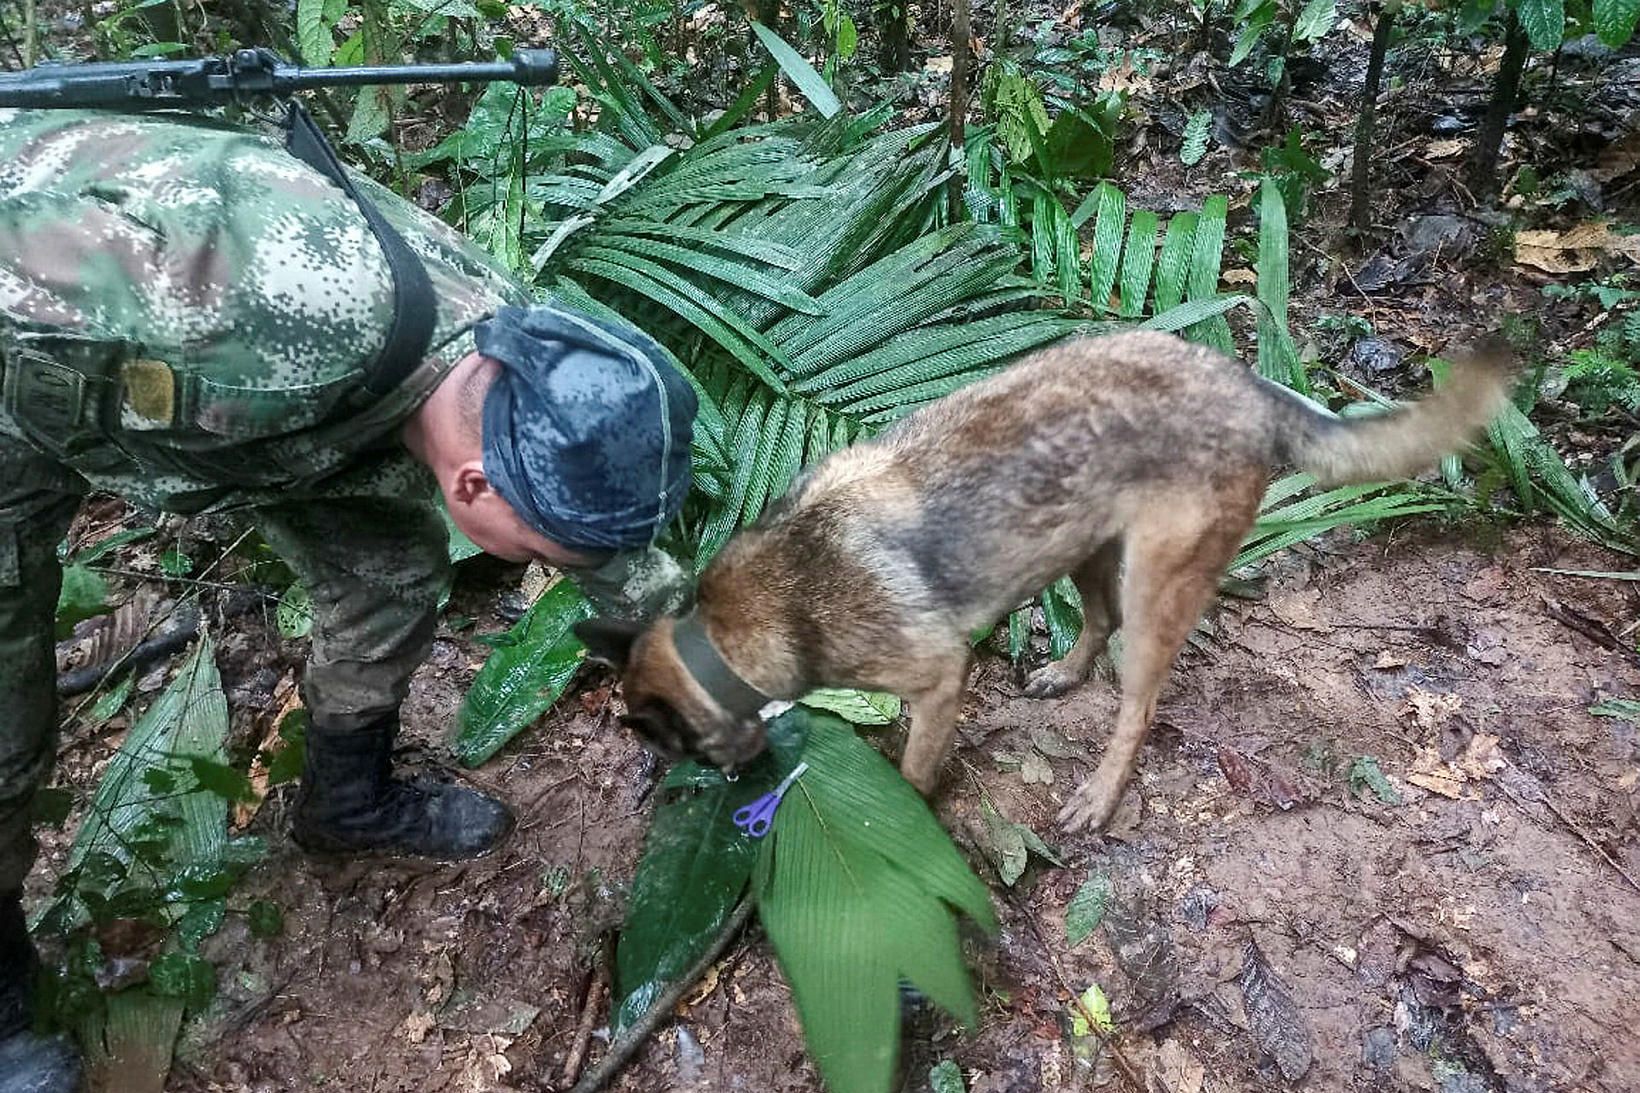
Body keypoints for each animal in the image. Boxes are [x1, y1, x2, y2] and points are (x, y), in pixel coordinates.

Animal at [574, 328, 1508, 830]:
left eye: (670, 747)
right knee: (1094, 622)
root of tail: (1249, 386)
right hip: (1083, 546)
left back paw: (1099, 791)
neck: (728, 630)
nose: (733, 787)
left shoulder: (936, 678)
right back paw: (1063, 672)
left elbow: (914, 769)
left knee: (1138, 703)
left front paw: (906, 813)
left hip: (1154, 586)